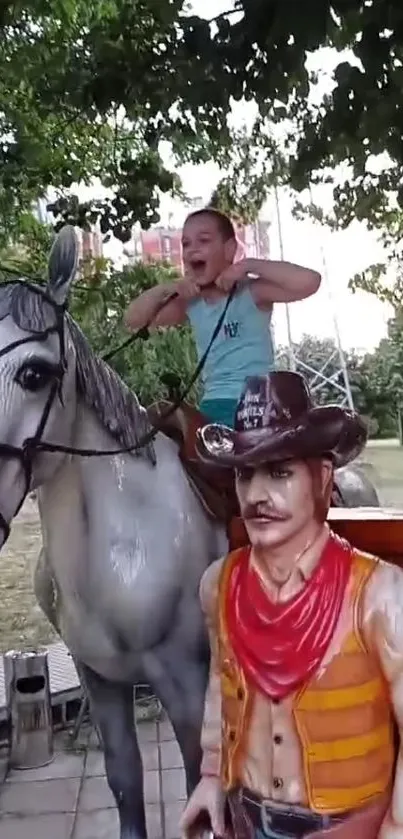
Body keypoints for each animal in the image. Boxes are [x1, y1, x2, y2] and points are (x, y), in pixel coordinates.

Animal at [0, 228, 378, 839]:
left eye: (35, 373)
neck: (118, 547)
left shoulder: (182, 680)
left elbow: (198, 788)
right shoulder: (98, 677)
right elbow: (125, 779)